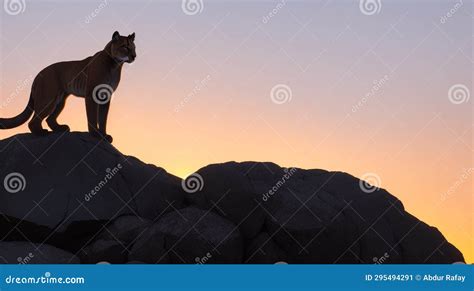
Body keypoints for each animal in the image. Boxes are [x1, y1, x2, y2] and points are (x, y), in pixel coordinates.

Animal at [0, 31, 137, 144]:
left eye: (134, 47)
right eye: (125, 47)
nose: (134, 56)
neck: (115, 65)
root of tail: (37, 74)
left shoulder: (106, 96)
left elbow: (103, 119)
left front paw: (104, 135)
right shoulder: (91, 95)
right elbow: (93, 117)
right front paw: (95, 135)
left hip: (60, 100)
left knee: (50, 119)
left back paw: (60, 128)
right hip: (48, 99)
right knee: (33, 122)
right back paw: (41, 133)